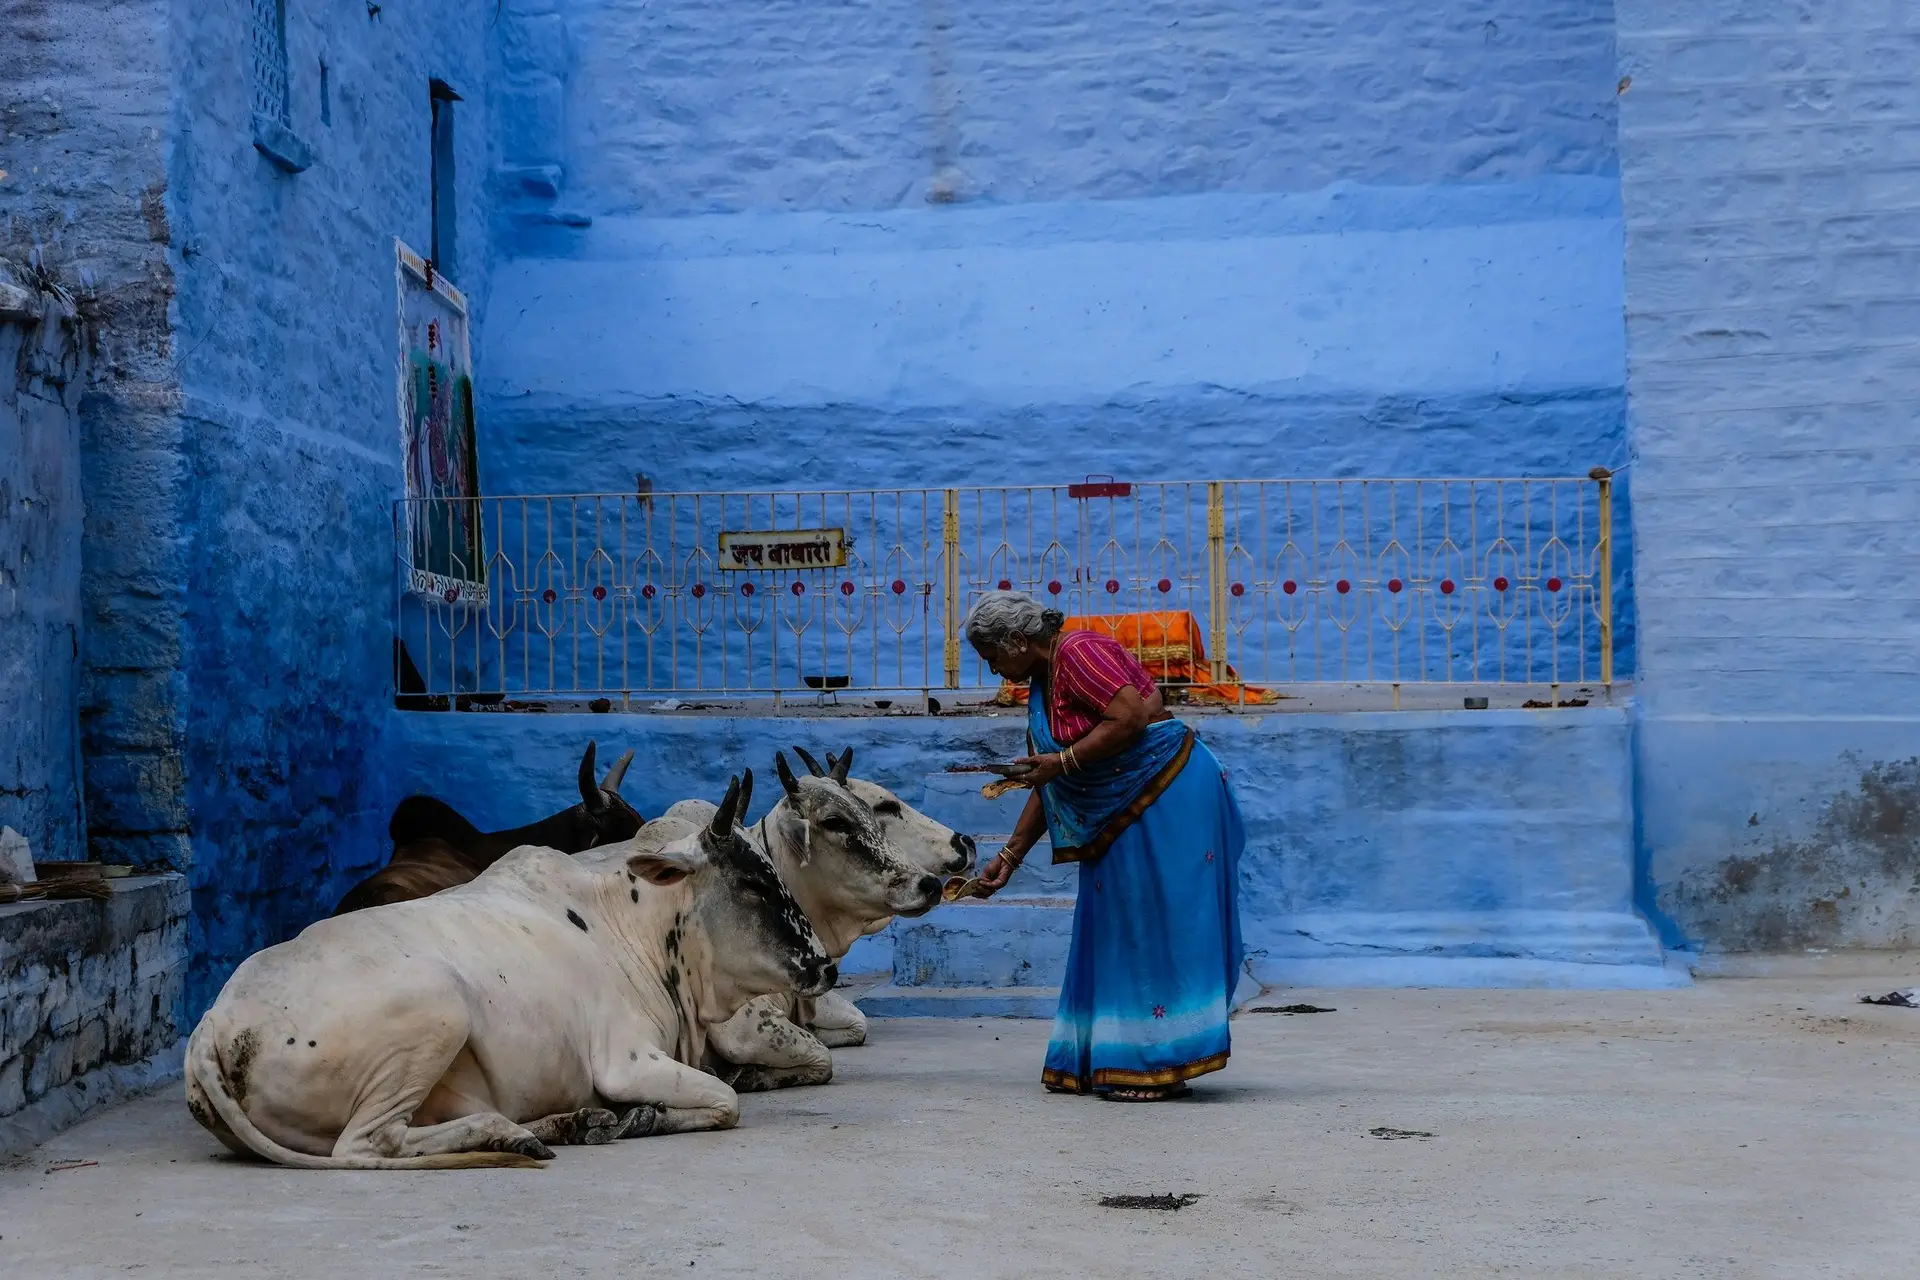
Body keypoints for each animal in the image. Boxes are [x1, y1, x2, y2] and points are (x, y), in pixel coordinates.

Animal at [185, 773, 835, 1170]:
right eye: (753, 884)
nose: (825, 965)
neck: (636, 928)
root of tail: (212, 1025)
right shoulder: (626, 1060)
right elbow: (726, 1099)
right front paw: (646, 1117)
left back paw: (568, 1122)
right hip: (439, 1006)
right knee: (369, 1142)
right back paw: (509, 1132)